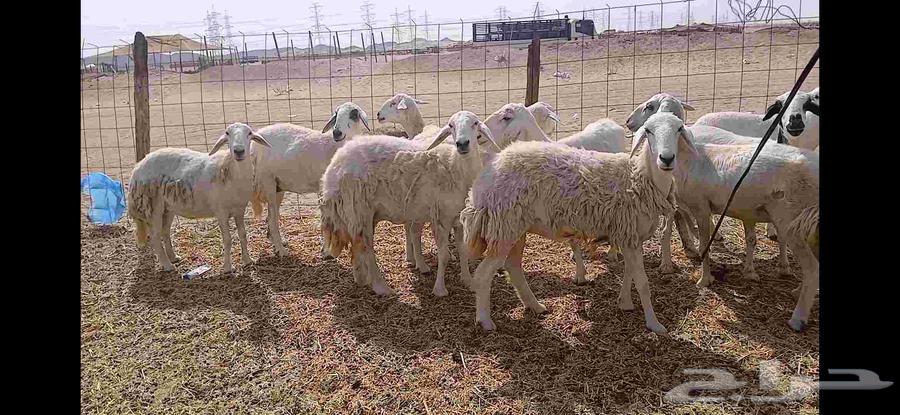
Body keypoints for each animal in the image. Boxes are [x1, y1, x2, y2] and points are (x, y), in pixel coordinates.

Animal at [128, 122, 273, 273]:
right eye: (227, 133)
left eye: (249, 133)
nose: (239, 151)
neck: (230, 170)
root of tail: (138, 166)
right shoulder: (221, 211)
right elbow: (227, 239)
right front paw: (227, 267)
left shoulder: (240, 210)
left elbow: (243, 235)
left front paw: (247, 261)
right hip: (153, 205)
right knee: (155, 236)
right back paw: (167, 265)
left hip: (168, 208)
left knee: (165, 231)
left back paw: (173, 257)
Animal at [249, 102, 372, 258]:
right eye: (336, 114)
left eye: (354, 114)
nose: (336, 133)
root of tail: (253, 145)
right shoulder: (323, 189)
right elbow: (326, 219)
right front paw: (326, 252)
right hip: (267, 181)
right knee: (271, 219)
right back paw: (281, 251)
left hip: (278, 186)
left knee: (271, 217)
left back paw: (280, 244)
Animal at [320, 110, 501, 297]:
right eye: (451, 126)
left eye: (475, 123)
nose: (462, 144)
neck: (455, 167)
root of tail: (333, 167)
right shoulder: (442, 218)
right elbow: (443, 255)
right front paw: (440, 288)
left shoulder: (457, 218)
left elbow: (463, 251)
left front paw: (468, 280)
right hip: (359, 210)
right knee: (367, 248)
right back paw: (381, 286)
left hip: (360, 215)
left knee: (357, 245)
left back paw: (361, 277)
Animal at [460, 112, 691, 333]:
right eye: (648, 131)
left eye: (679, 129)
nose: (666, 158)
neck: (639, 177)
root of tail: (481, 181)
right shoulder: (629, 234)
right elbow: (642, 282)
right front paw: (654, 324)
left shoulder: (630, 236)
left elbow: (630, 273)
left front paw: (625, 302)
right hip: (503, 225)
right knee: (483, 274)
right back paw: (485, 320)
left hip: (515, 227)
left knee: (513, 267)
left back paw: (535, 306)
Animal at [669, 137, 819, 331]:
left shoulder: (700, 206)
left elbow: (704, 242)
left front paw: (704, 280)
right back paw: (797, 291)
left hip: (792, 221)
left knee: (812, 268)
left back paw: (798, 318)